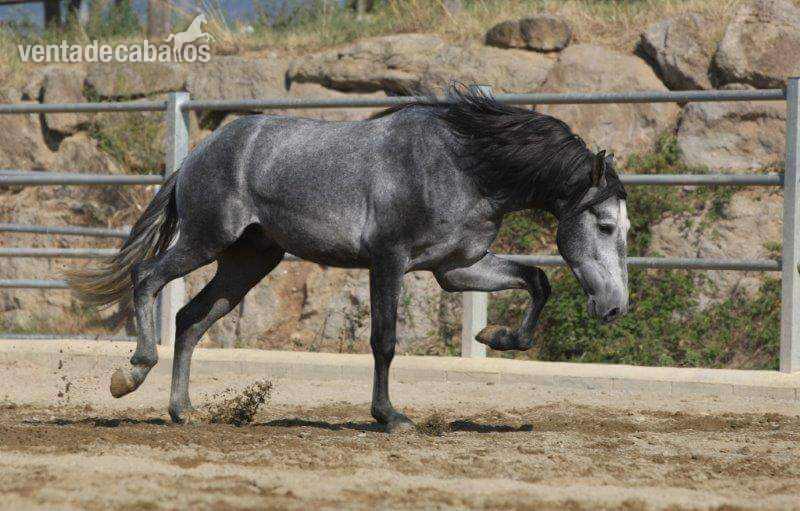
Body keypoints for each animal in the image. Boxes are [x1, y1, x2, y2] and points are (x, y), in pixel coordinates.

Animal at [67, 88, 630, 433]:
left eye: (626, 230)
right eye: (604, 225)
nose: (615, 307)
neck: (464, 165)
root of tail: (195, 156)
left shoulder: (455, 269)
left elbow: (537, 280)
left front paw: (495, 337)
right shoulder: (389, 261)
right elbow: (385, 342)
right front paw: (391, 417)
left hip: (248, 261)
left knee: (189, 318)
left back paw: (184, 411)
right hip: (206, 240)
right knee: (147, 278)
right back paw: (130, 376)